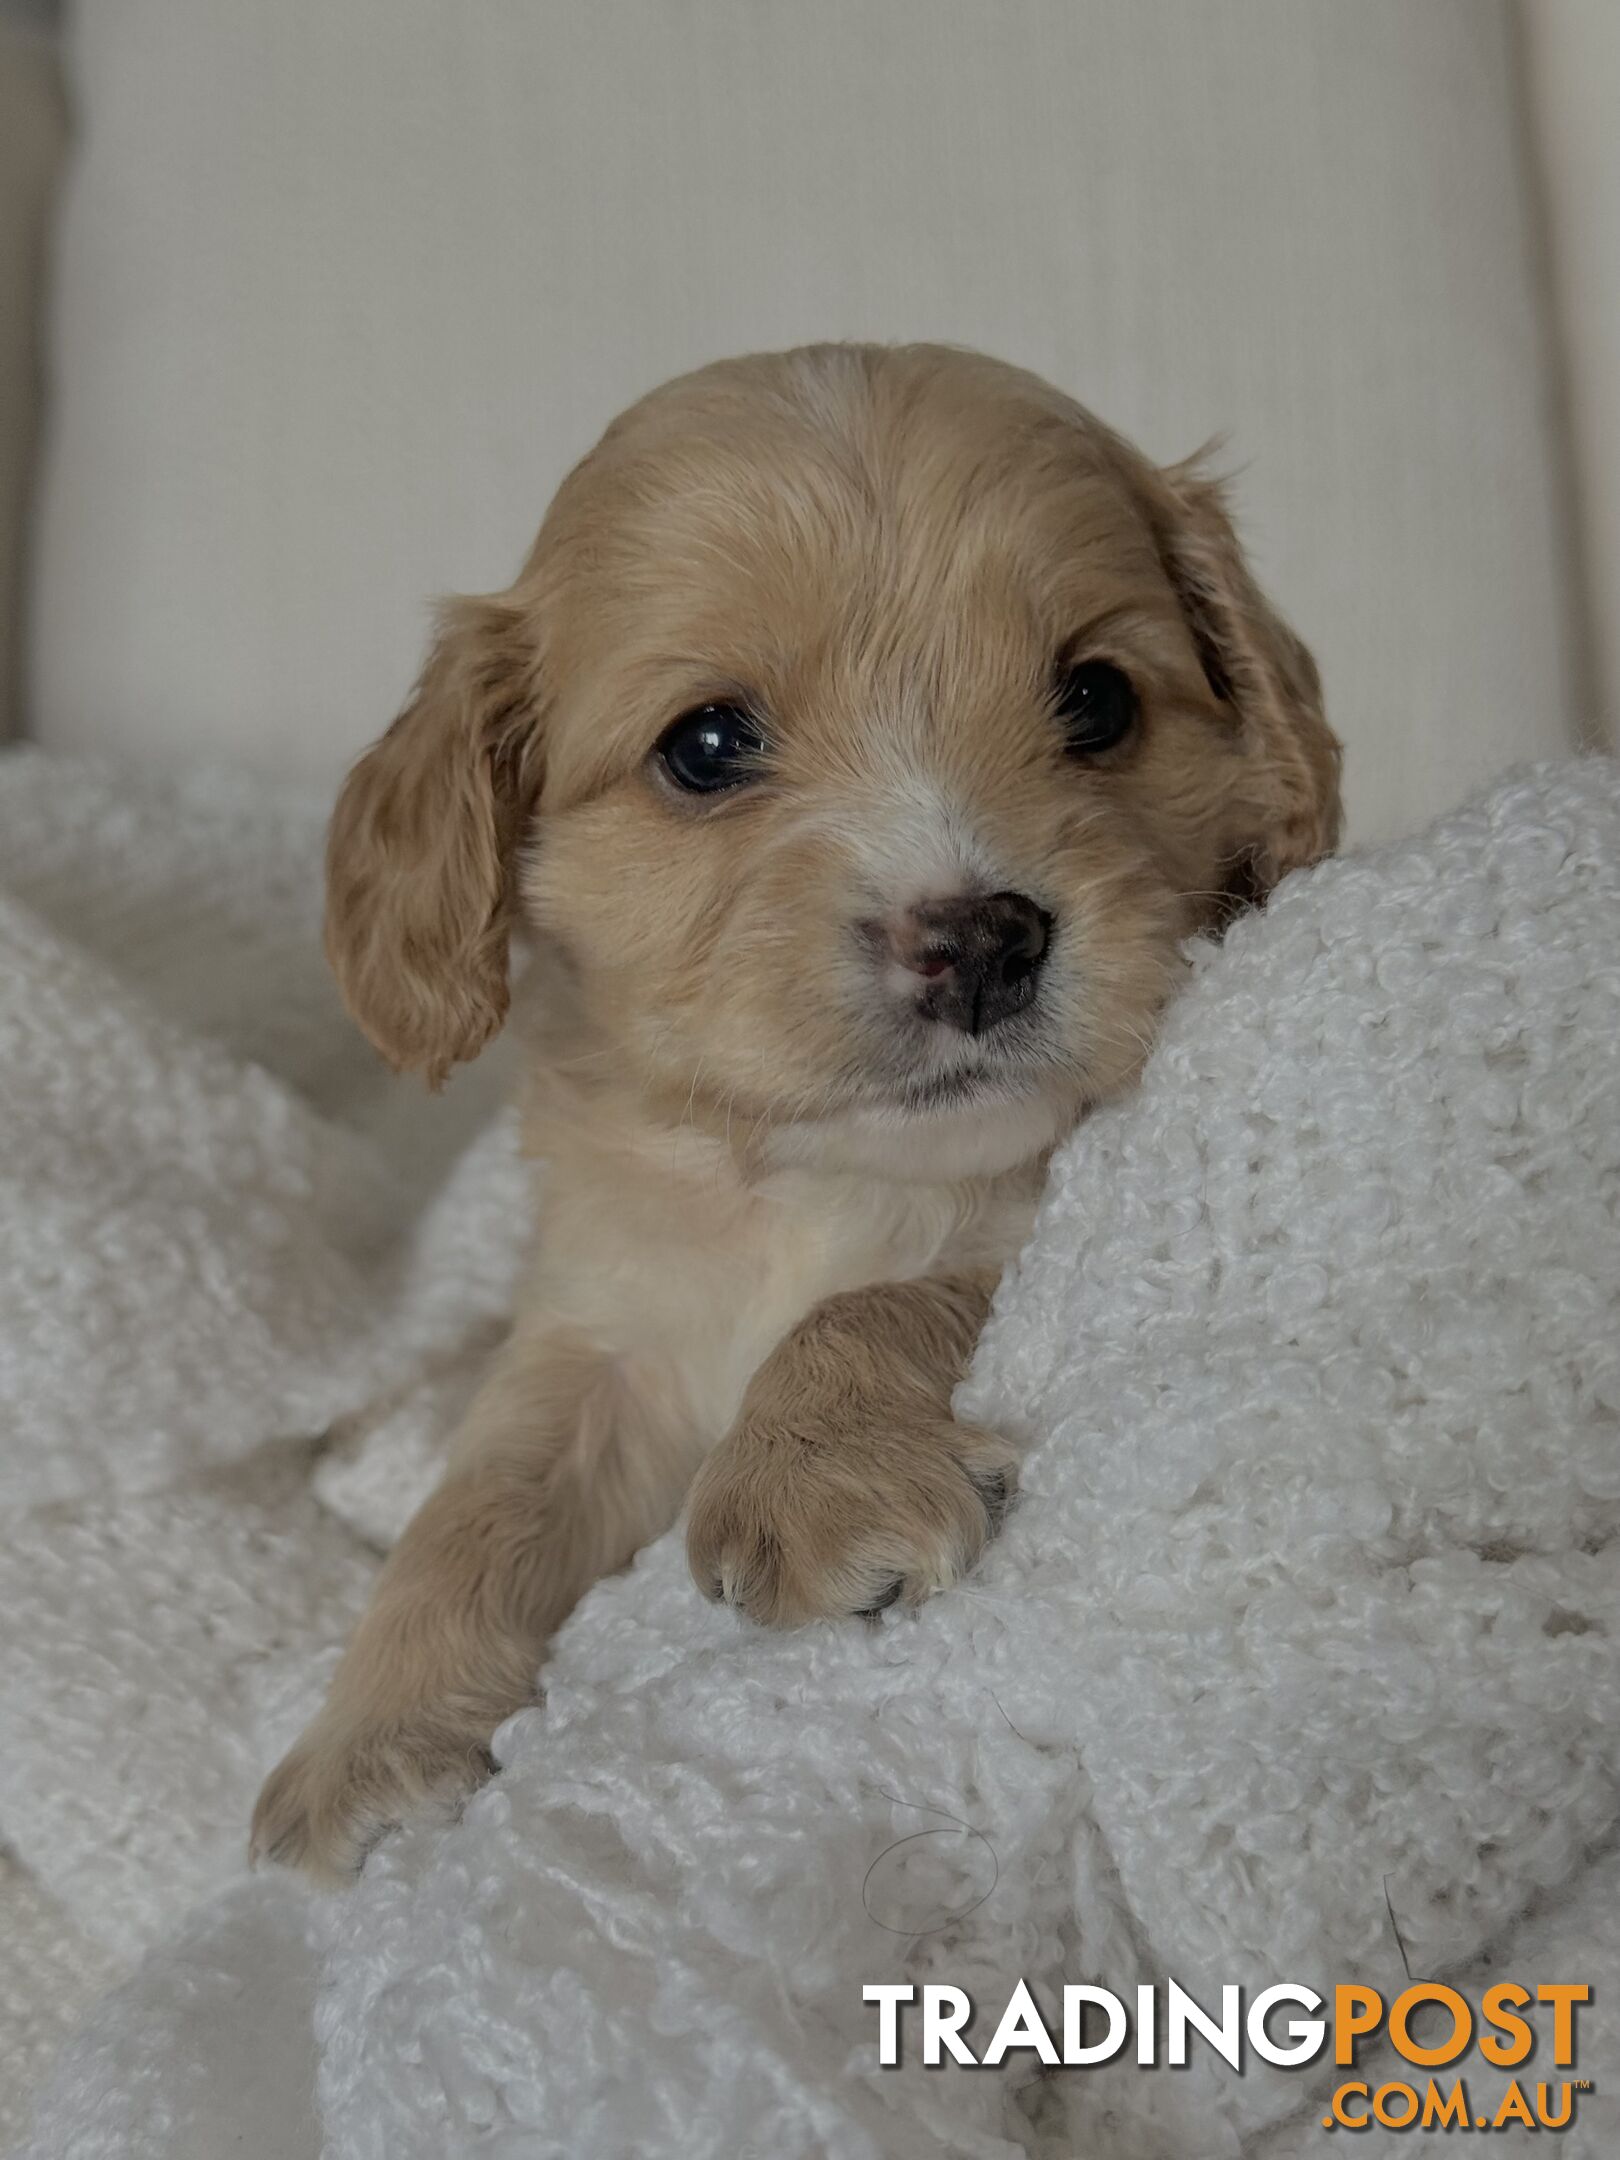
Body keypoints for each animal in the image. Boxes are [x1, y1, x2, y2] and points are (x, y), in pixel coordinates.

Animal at [253, 336, 1347, 1874]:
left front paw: (814, 1479)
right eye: (707, 744)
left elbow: (884, 1299)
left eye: (1098, 701)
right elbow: (477, 1499)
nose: (983, 939)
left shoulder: (1059, 1217)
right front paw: (368, 1737)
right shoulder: (600, 1329)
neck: (817, 1178)